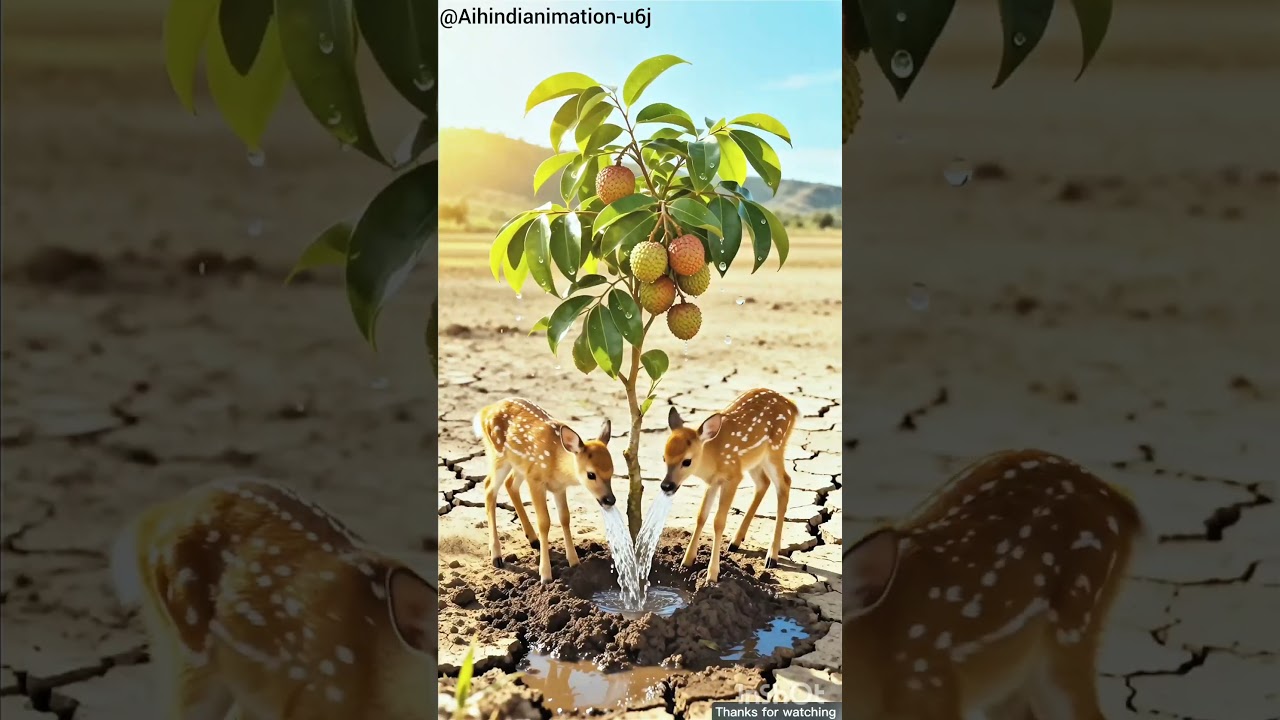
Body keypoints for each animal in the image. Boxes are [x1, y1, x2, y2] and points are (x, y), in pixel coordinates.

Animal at [474, 397, 616, 583]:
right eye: (591, 474)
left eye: (612, 471)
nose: (610, 499)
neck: (556, 462)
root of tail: (485, 411)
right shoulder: (536, 480)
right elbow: (544, 522)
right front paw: (546, 575)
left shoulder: (558, 488)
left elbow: (565, 518)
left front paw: (575, 562)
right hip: (498, 455)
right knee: (489, 488)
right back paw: (496, 556)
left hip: (519, 465)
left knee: (510, 484)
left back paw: (532, 539)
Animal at [661, 387, 798, 583]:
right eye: (664, 458)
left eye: (687, 461)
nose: (666, 486)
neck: (713, 457)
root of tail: (792, 406)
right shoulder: (712, 482)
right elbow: (701, 516)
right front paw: (686, 561)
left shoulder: (732, 476)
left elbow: (718, 521)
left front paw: (712, 575)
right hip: (755, 459)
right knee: (764, 482)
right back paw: (735, 542)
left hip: (775, 448)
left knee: (785, 483)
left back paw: (772, 557)